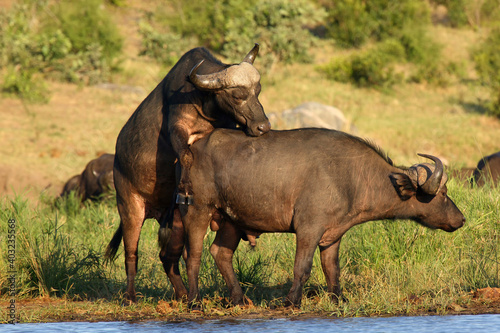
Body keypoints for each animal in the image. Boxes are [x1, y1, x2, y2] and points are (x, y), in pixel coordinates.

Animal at [103, 44, 272, 304]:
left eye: (258, 91)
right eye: (236, 95)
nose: (263, 126)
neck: (203, 102)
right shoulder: (177, 127)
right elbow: (185, 155)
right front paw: (184, 185)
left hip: (175, 220)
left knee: (168, 256)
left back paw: (183, 294)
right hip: (130, 206)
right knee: (131, 254)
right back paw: (131, 296)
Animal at [157, 127, 464, 306]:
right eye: (444, 192)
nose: (460, 219)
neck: (351, 177)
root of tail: (189, 149)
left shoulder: (333, 235)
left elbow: (332, 268)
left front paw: (338, 298)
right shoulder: (308, 229)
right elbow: (302, 267)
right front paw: (292, 300)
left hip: (231, 221)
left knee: (220, 252)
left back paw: (238, 298)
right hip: (197, 210)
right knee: (193, 255)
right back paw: (194, 300)